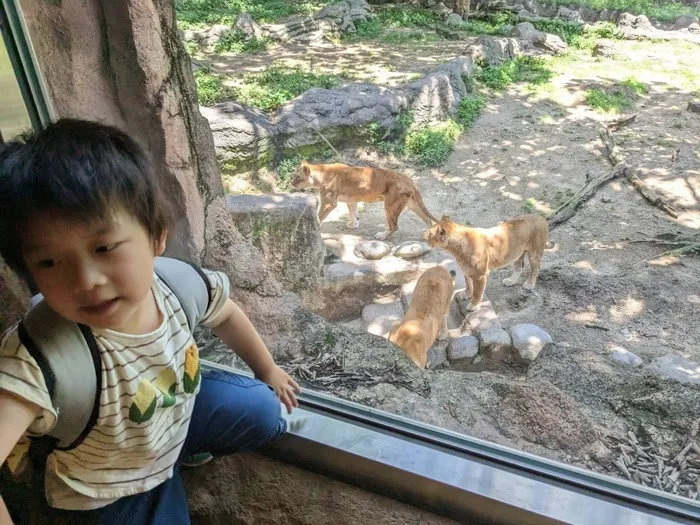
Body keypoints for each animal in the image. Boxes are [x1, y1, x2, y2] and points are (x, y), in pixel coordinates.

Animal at [290, 161, 438, 241]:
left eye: (297, 177)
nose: (291, 183)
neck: (321, 173)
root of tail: (408, 179)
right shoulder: (351, 200)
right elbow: (353, 213)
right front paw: (354, 224)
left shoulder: (328, 203)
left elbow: (320, 216)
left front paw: (316, 226)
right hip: (412, 203)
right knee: (428, 220)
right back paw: (428, 235)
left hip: (390, 205)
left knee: (394, 226)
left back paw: (381, 236)